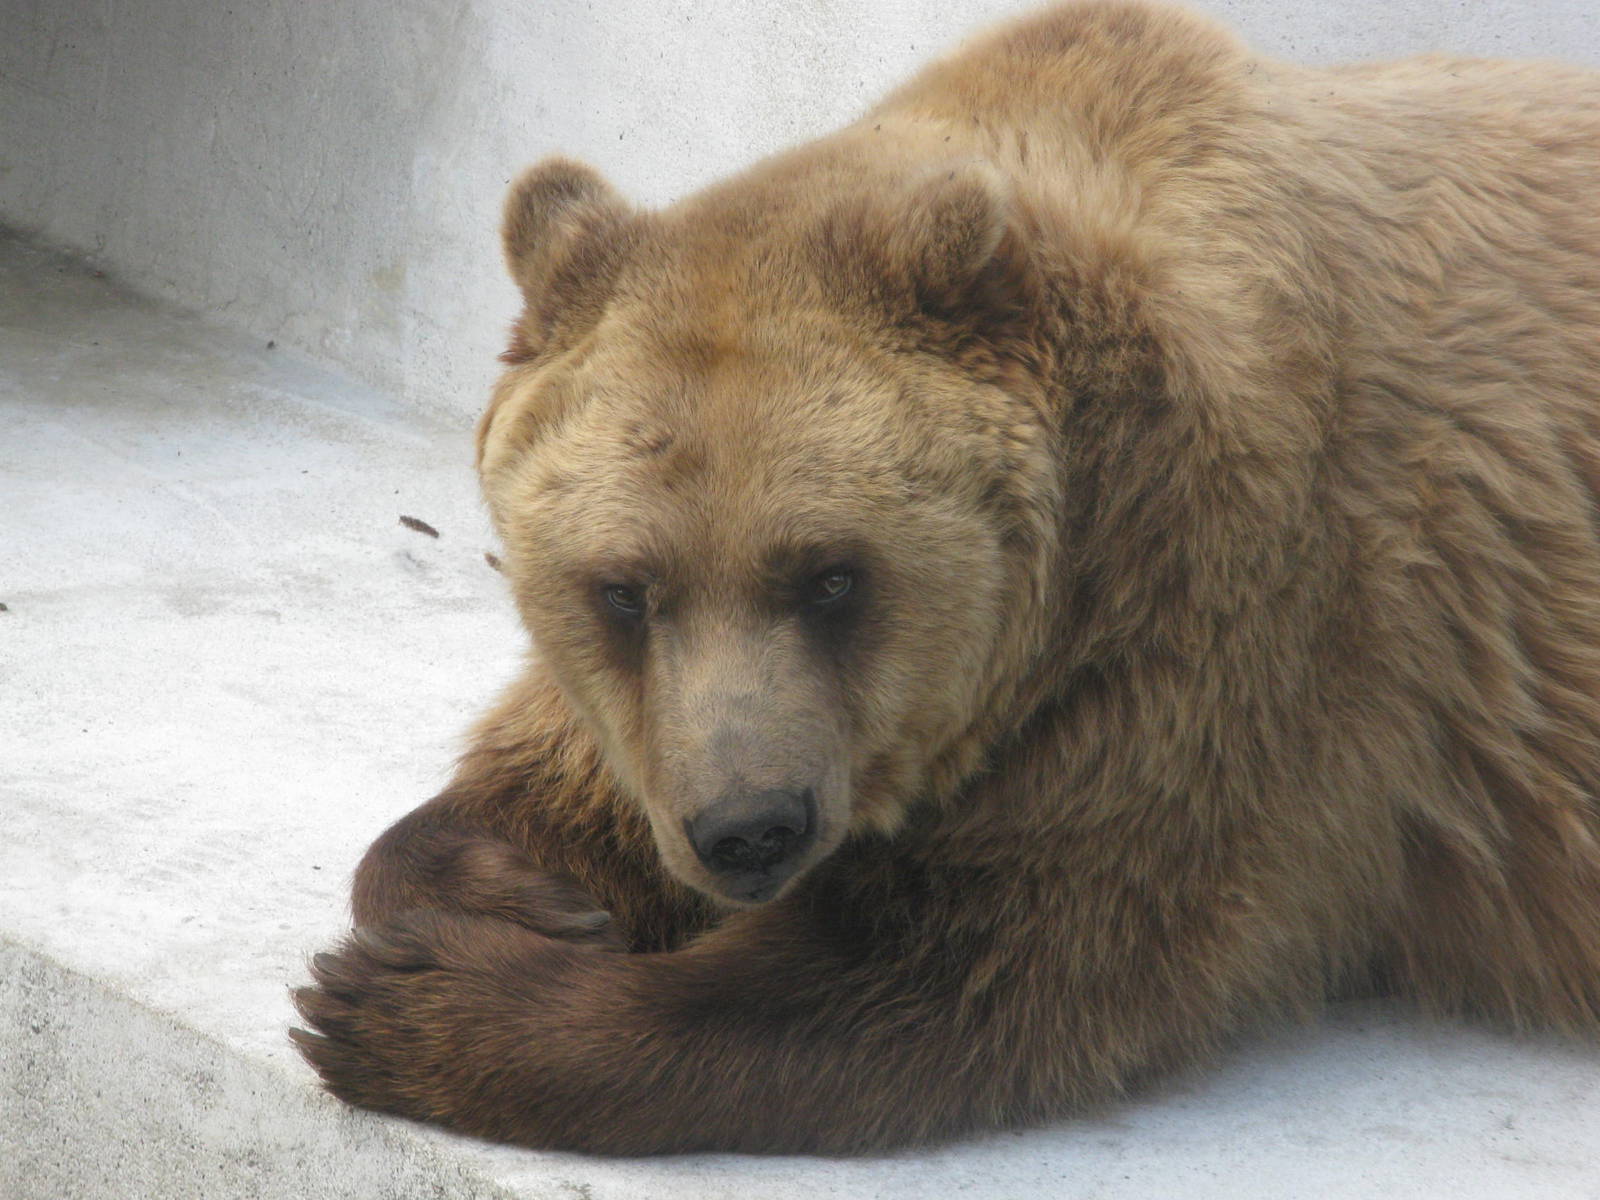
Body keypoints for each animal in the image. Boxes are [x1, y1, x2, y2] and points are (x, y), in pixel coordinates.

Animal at [291, 0, 1600, 1154]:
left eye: (829, 575)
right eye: (623, 588)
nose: (750, 830)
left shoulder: (1234, 632)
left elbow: (967, 973)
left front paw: (403, 1004)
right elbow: (560, 772)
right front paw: (519, 891)